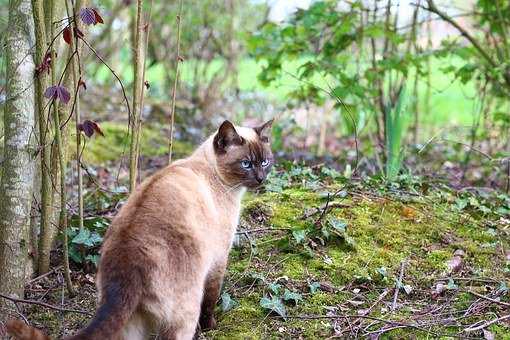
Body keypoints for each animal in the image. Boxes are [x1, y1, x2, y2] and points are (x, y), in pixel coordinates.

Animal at [5, 119, 272, 340]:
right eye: (246, 164)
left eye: (265, 162)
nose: (261, 178)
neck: (212, 173)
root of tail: (127, 262)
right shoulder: (219, 259)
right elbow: (211, 300)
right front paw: (211, 327)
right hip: (184, 311)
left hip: (132, 322)